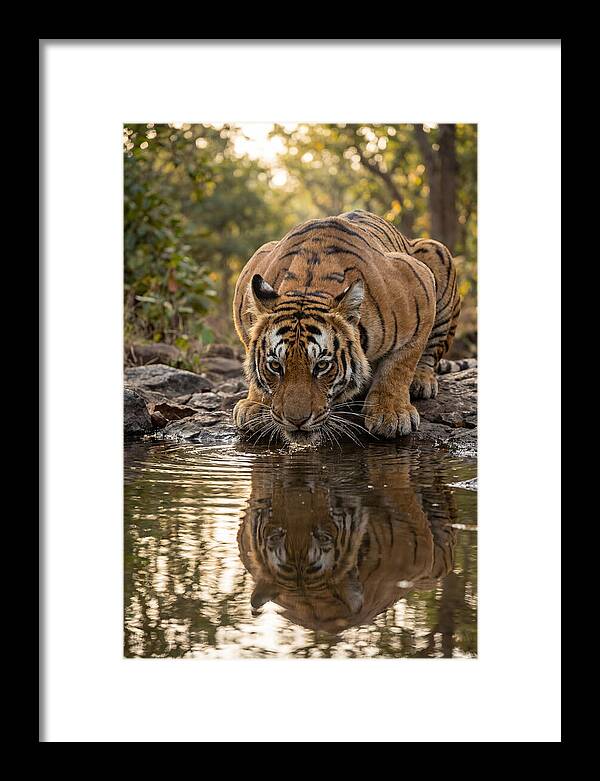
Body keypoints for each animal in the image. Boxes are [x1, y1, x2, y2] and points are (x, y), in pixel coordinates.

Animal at [232, 209, 464, 444]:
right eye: (275, 366)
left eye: (322, 366)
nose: (296, 421)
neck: (308, 285)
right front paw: (255, 404)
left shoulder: (419, 284)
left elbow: (400, 365)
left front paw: (391, 413)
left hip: (437, 251)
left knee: (431, 351)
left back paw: (421, 381)